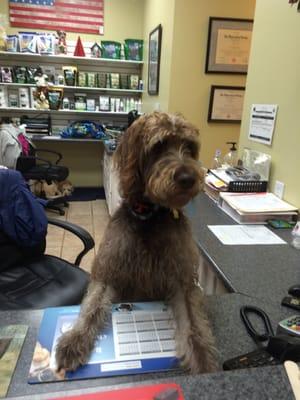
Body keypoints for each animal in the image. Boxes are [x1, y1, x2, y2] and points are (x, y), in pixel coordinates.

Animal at [55, 111, 217, 374]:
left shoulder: (182, 279)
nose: (188, 178)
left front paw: (202, 360)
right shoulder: (108, 272)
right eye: (159, 145)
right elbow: (91, 307)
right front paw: (74, 340)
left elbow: (193, 323)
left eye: (189, 147)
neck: (149, 216)